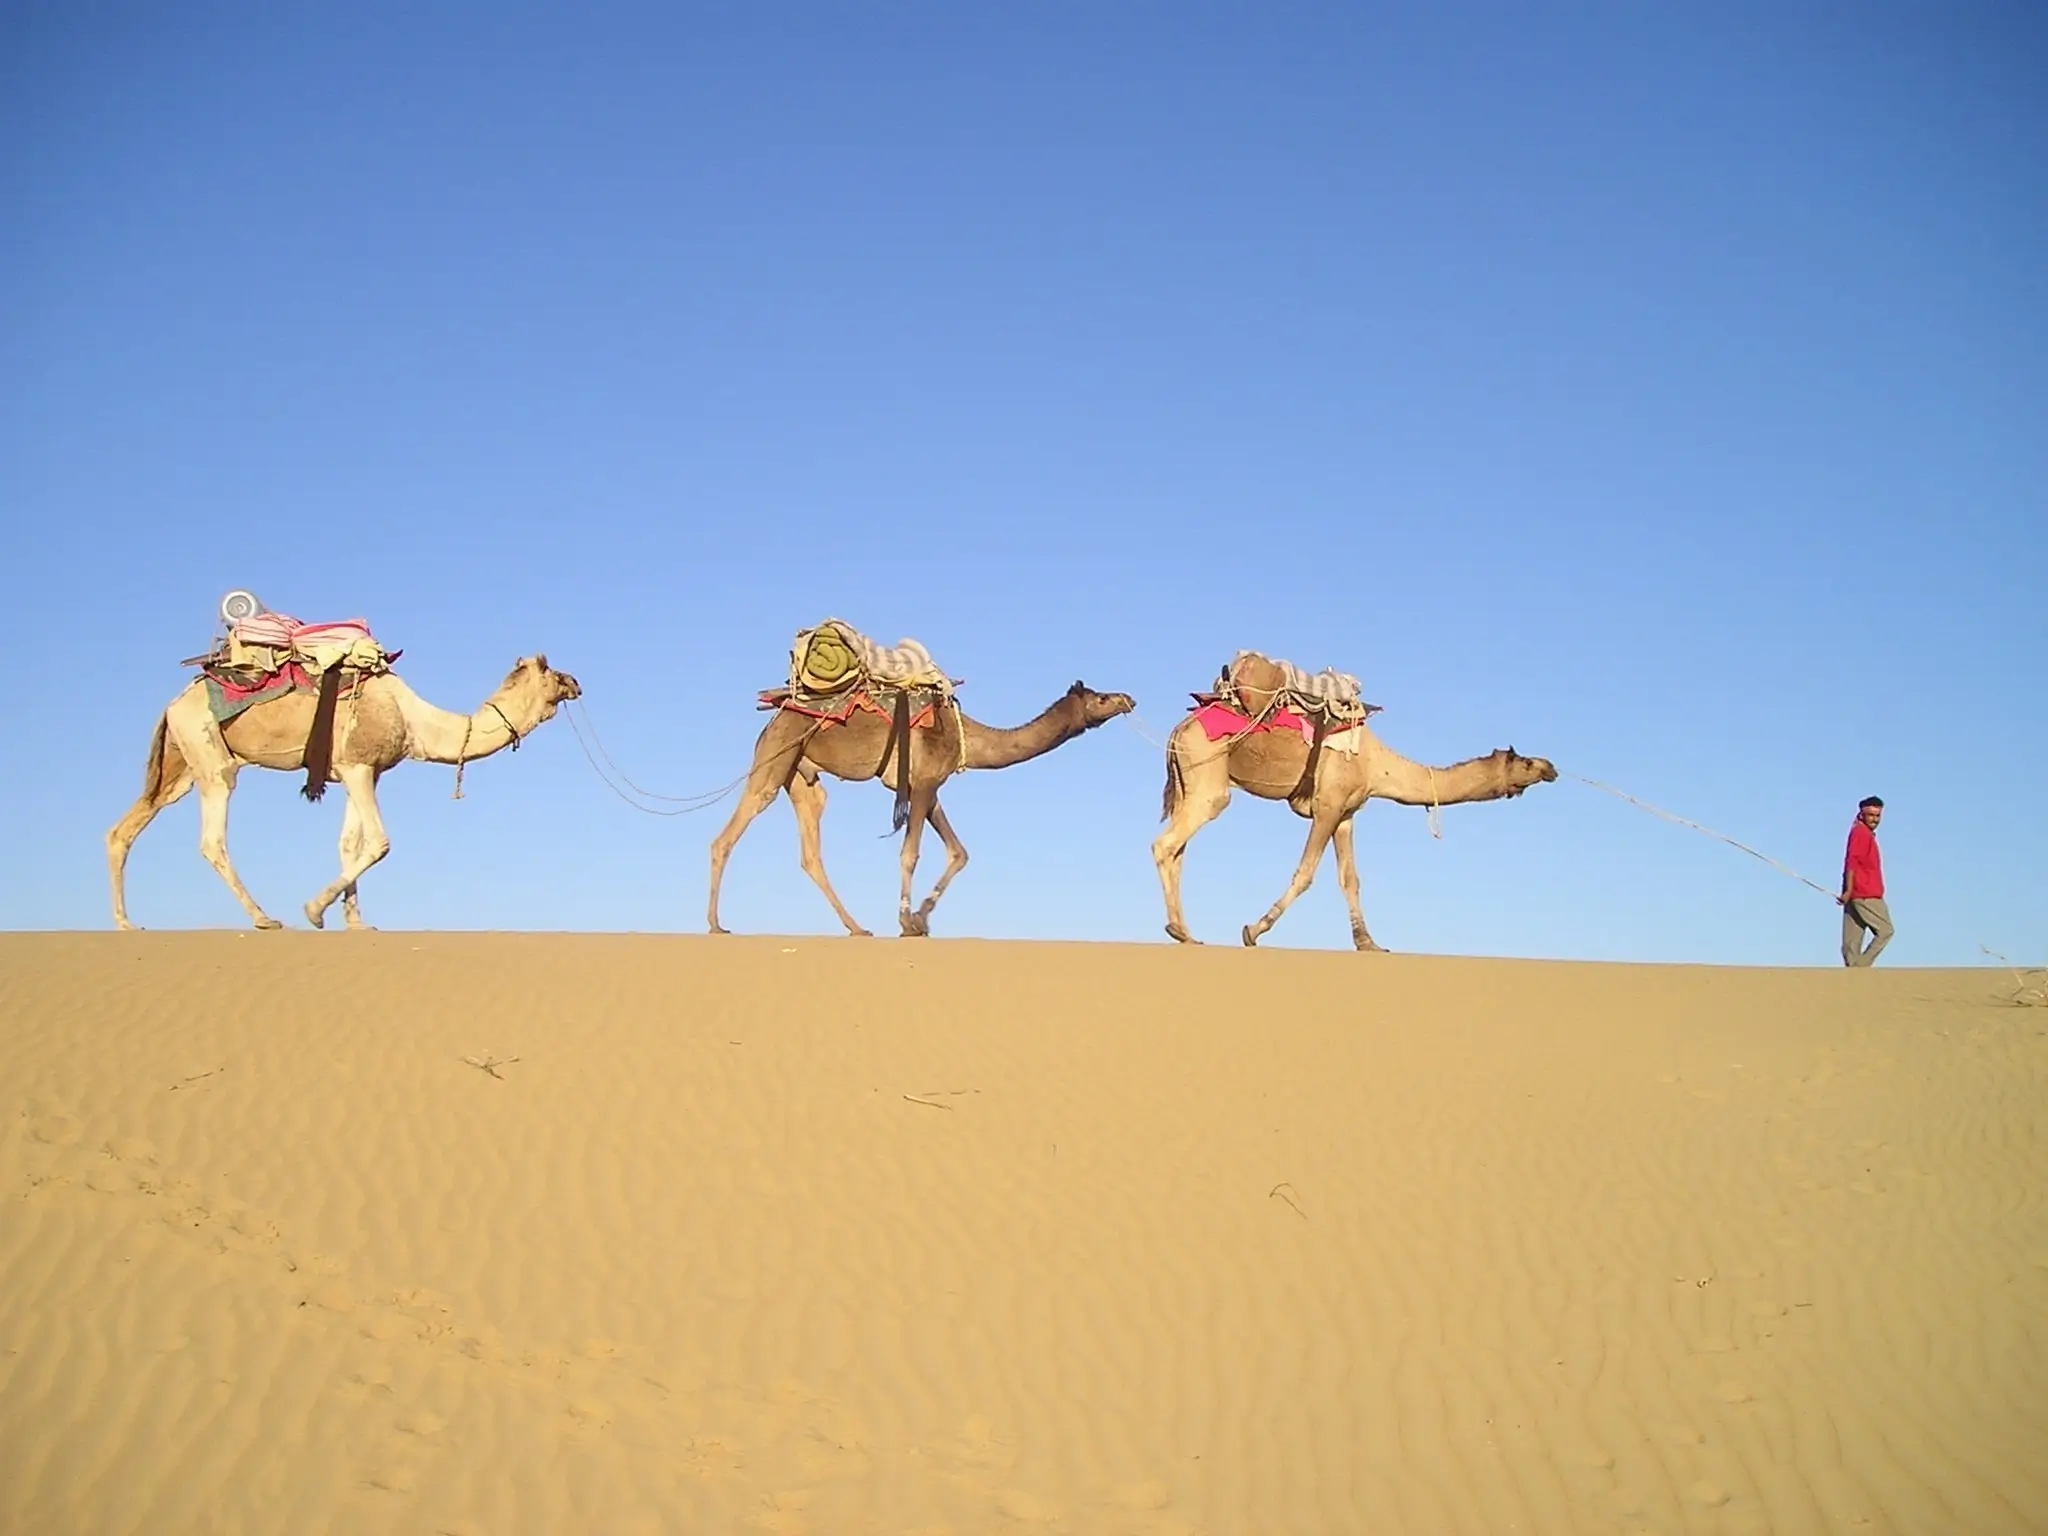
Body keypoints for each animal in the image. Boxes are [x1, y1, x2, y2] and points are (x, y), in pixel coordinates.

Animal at [108, 655, 582, 931]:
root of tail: (173, 704)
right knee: (212, 839)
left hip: (179, 765)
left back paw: (126, 923)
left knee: (124, 830)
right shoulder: (356, 765)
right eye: (551, 672)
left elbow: (350, 843)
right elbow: (379, 842)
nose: (576, 682)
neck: (414, 722)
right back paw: (263, 918)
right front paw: (314, 911)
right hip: (210, 756)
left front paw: (356, 923)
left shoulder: (366, 772)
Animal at [707, 680, 1135, 937]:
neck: (967, 738)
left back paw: (857, 928)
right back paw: (715, 925)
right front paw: (906, 921)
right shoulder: (926, 781)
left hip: (803, 776)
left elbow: (959, 852)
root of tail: (773, 718)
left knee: (811, 850)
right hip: (777, 755)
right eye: (1100, 698)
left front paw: (921, 918)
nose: (1128, 699)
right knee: (729, 834)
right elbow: (910, 853)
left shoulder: (926, 787)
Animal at [1153, 710, 1556, 950]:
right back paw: (1180, 932)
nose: (1550, 767)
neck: (1378, 765)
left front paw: (1369, 943)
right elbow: (1305, 873)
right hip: (1208, 780)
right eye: (1526, 762)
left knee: (1178, 851)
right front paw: (1254, 930)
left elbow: (1350, 879)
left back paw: (1184, 932)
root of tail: (1178, 729)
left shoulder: (1347, 813)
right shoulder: (1327, 806)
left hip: (1188, 784)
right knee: (1166, 843)